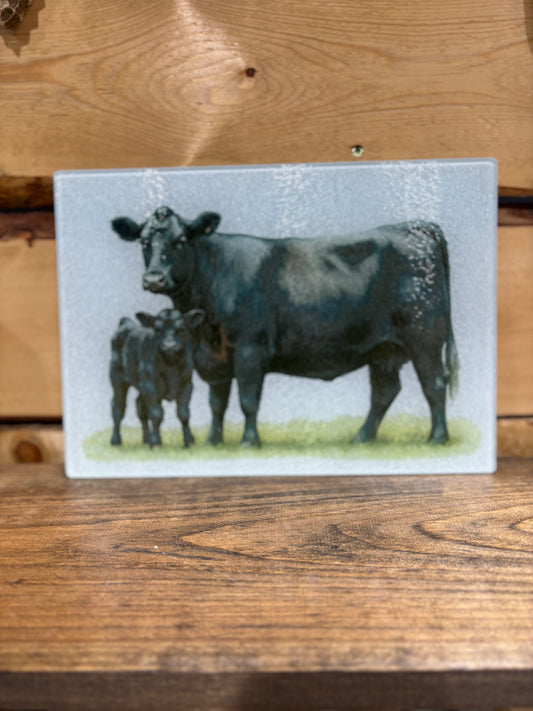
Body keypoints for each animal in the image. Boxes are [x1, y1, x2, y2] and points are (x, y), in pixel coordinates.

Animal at [110, 307, 205, 448]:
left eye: (181, 329)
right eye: (157, 330)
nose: (169, 346)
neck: (170, 366)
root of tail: (126, 322)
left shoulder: (187, 385)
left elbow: (184, 414)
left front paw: (189, 441)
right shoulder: (150, 387)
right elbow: (156, 414)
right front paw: (156, 443)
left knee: (140, 406)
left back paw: (146, 440)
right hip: (117, 378)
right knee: (118, 408)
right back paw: (116, 441)